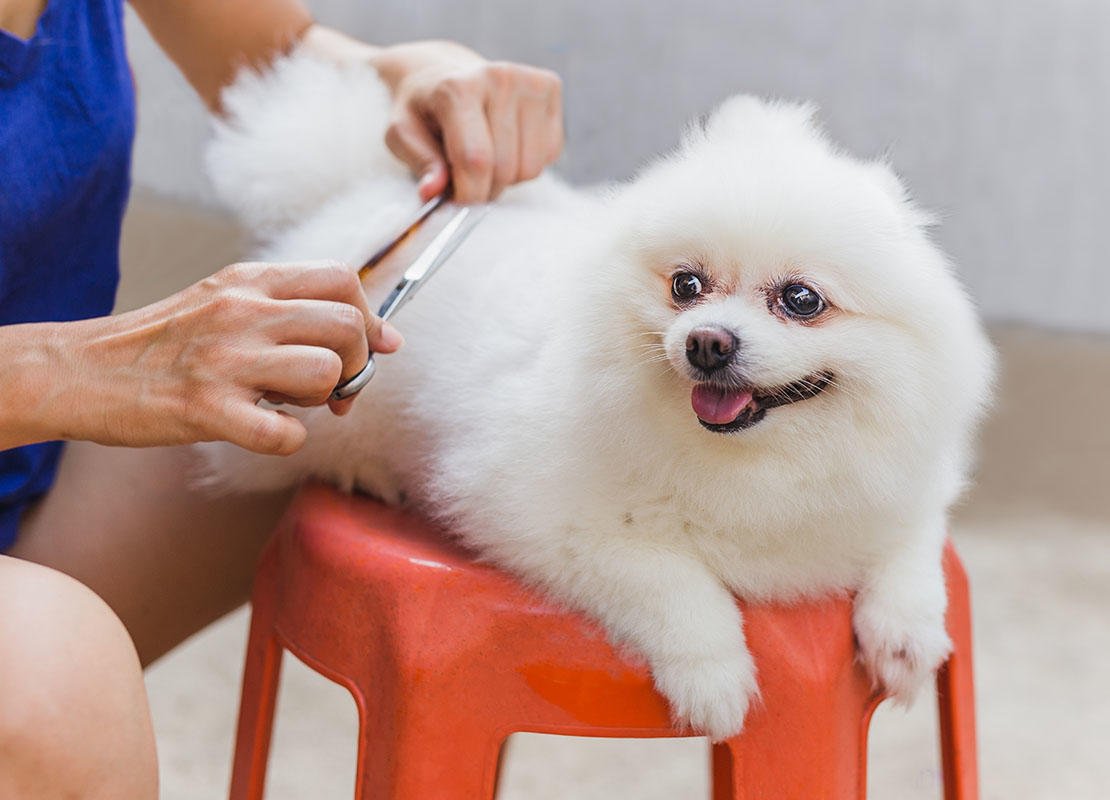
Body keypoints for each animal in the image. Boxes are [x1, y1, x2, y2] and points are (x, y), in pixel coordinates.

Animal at [202, 56, 999, 741]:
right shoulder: (539, 515)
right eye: (685, 285)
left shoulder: (896, 485)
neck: (761, 463)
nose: (707, 342)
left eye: (802, 300)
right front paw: (716, 678)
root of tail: (362, 191)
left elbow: (912, 546)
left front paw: (907, 639)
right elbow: (671, 579)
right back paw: (362, 471)